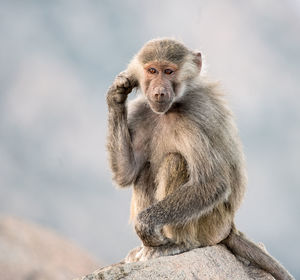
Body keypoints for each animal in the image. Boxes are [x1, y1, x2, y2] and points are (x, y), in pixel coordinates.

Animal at [105, 37, 292, 280]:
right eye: (152, 70)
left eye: (169, 71)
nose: (159, 93)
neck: (173, 106)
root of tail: (229, 228)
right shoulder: (141, 111)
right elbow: (126, 173)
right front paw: (117, 94)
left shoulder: (192, 121)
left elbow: (213, 182)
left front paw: (145, 226)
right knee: (145, 170)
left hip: (210, 224)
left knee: (174, 161)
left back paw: (178, 244)